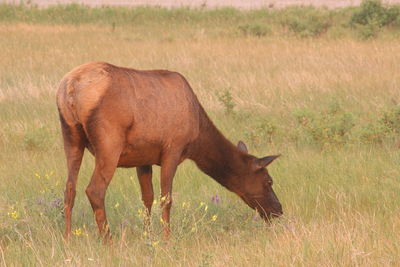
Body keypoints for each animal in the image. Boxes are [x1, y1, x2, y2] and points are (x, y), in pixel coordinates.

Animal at [56, 62, 282, 239]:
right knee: (95, 190)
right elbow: (166, 199)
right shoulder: (173, 149)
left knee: (69, 189)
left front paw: (148, 235)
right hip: (109, 144)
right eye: (268, 180)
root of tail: (70, 89)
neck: (197, 138)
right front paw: (166, 239)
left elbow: (147, 197)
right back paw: (108, 241)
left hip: (70, 137)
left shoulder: (143, 158)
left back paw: (67, 238)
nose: (278, 211)